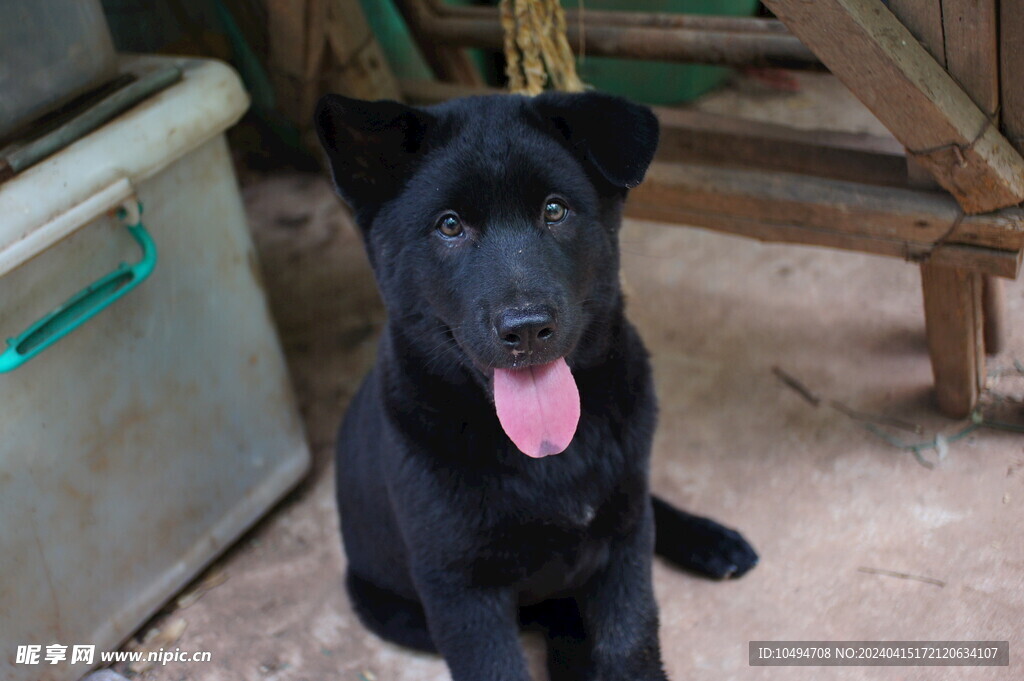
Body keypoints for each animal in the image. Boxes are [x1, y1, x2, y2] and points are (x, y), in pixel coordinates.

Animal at [315, 91, 757, 679]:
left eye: (554, 210)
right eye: (449, 226)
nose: (526, 328)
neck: (547, 457)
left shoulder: (623, 546)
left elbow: (632, 638)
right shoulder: (460, 591)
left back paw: (712, 541)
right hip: (390, 607)